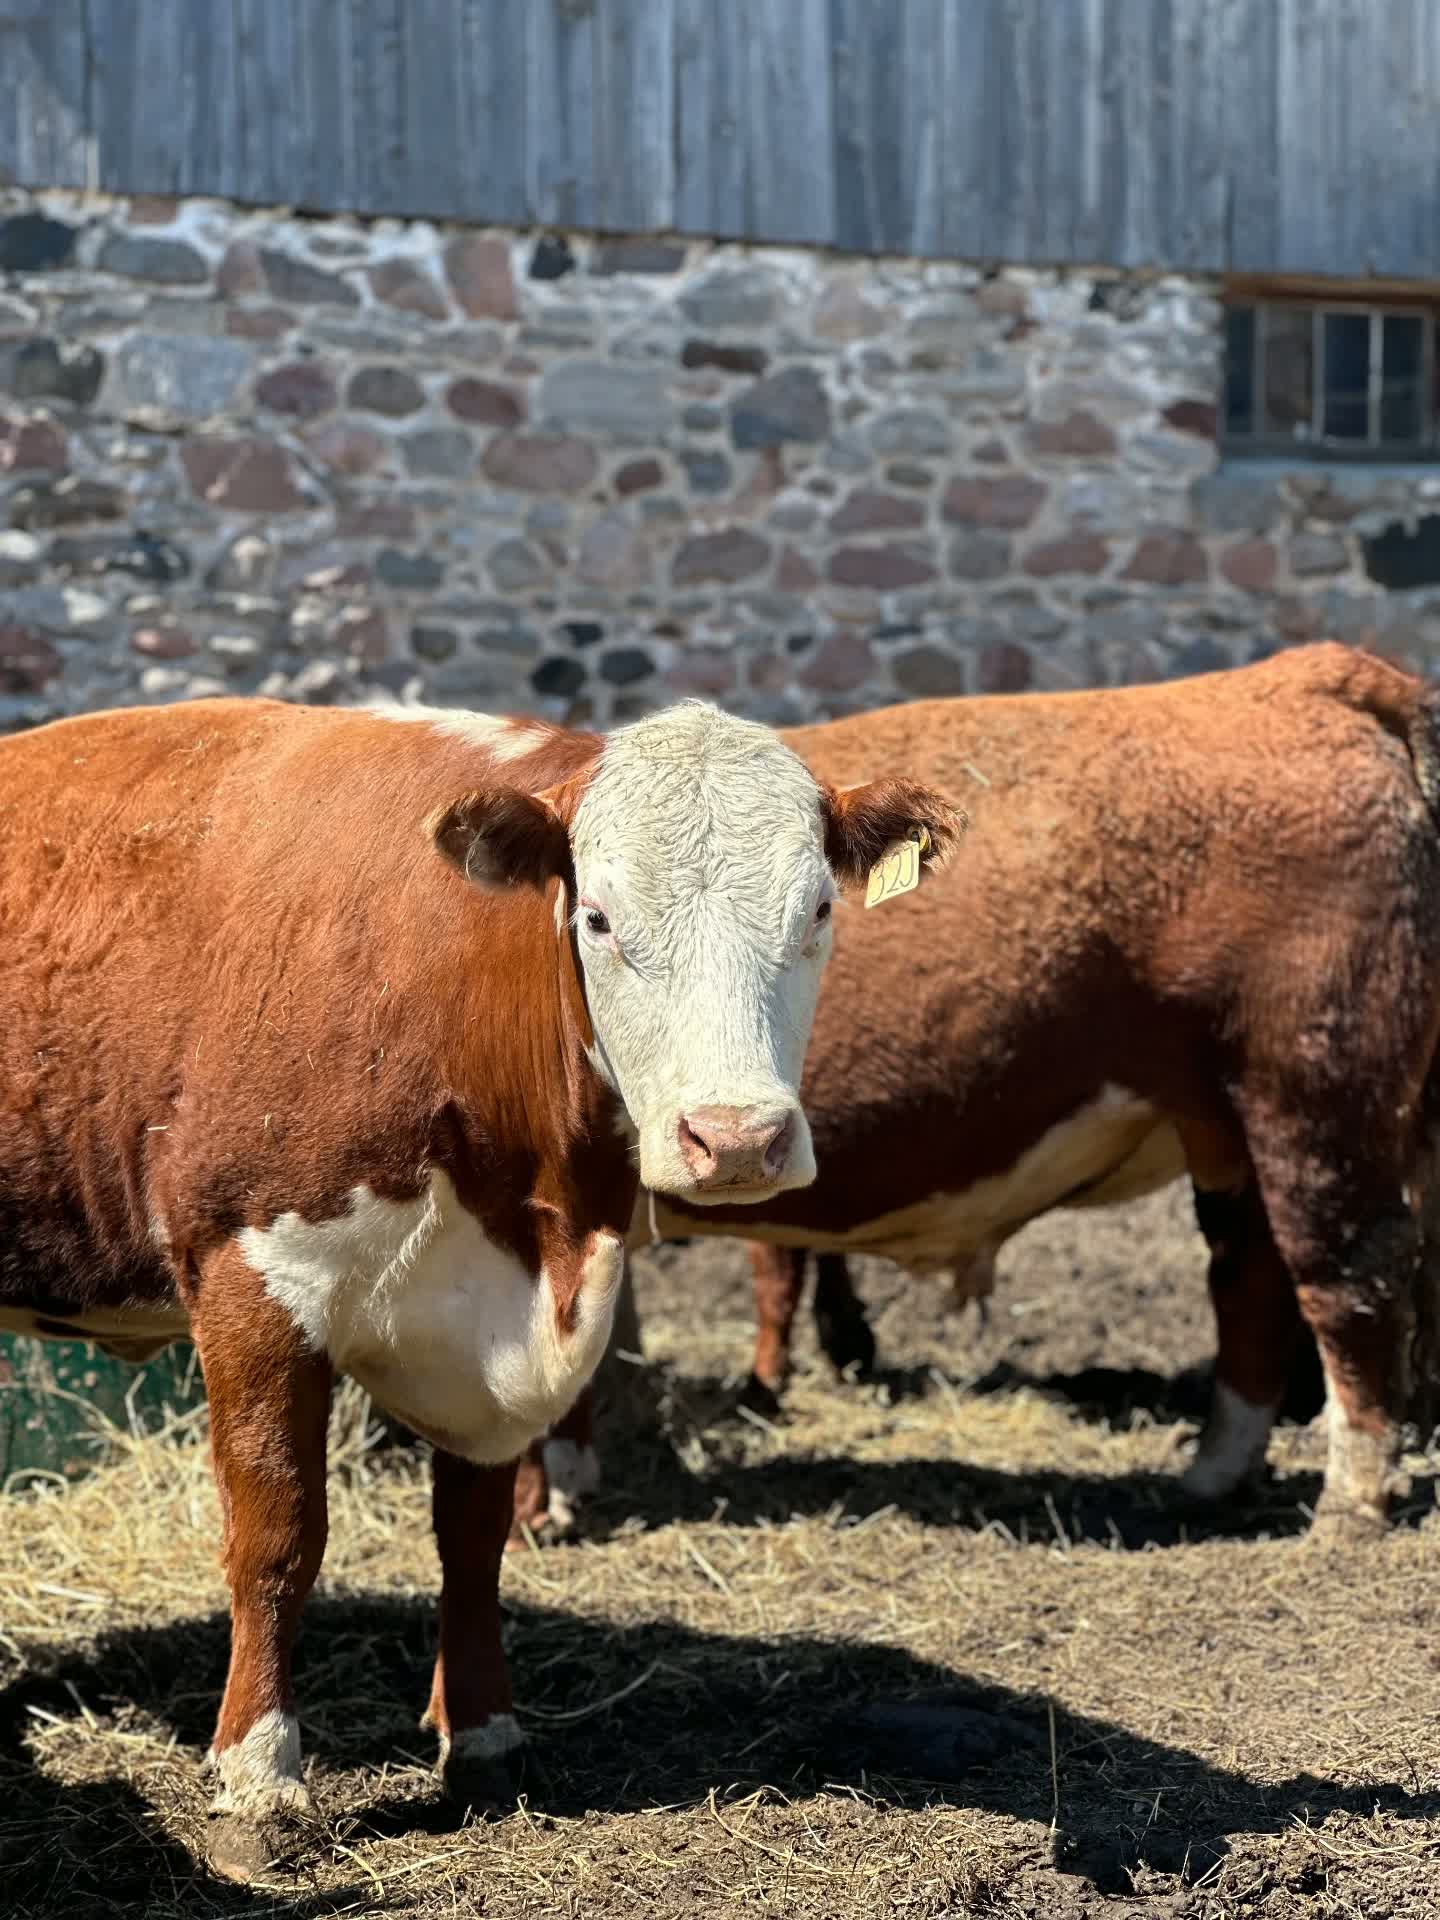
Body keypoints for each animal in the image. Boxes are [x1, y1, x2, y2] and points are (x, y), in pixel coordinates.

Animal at [0, 693, 959, 1879]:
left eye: (818, 906)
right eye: (597, 918)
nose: (736, 1138)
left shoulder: (497, 1336)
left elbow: (473, 1538)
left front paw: (486, 1739)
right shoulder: (254, 1276)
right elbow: (276, 1537)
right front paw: (259, 1785)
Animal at [518, 644, 1440, 1548]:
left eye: (820, 906)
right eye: (596, 918)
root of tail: (1321, 674)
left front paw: (538, 1507)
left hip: (1313, 1095)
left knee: (1349, 1270)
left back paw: (1353, 1499)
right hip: (1226, 1117)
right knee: (1248, 1268)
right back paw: (1219, 1471)